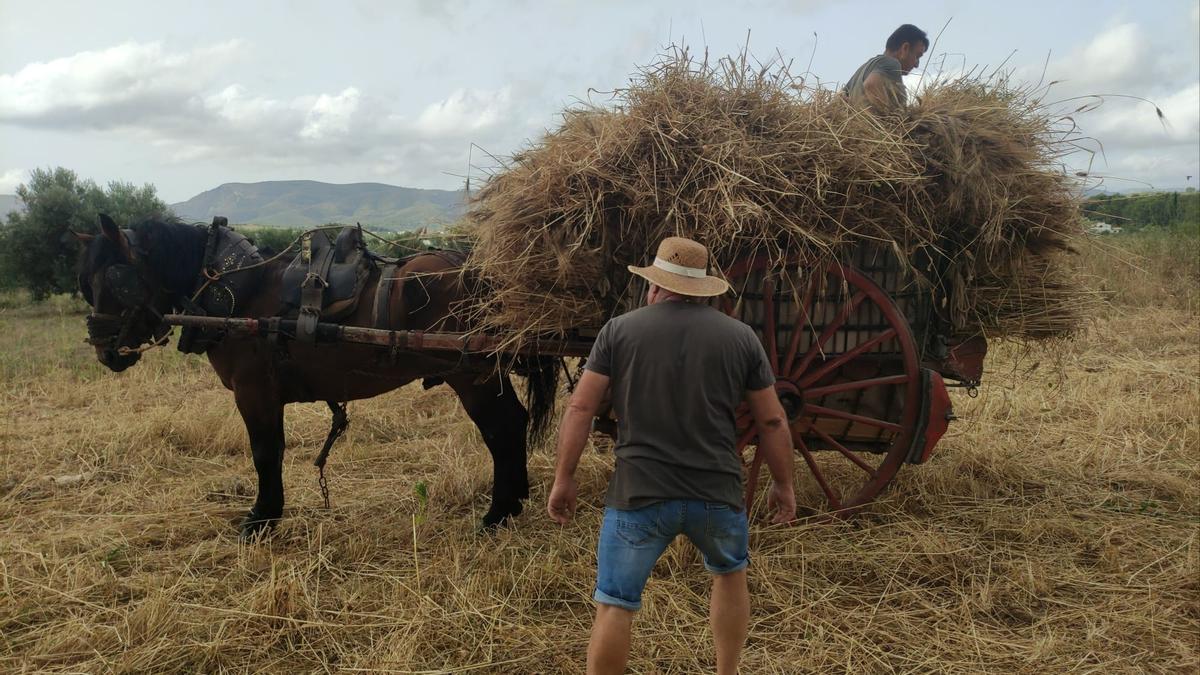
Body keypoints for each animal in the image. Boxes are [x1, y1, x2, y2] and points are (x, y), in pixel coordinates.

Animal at [77, 212, 554, 538]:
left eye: (117, 281)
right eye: (87, 283)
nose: (104, 350)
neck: (240, 294)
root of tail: (479, 268)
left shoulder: (254, 393)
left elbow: (265, 453)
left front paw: (262, 518)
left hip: (474, 376)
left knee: (502, 430)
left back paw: (497, 513)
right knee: (512, 426)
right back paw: (513, 503)